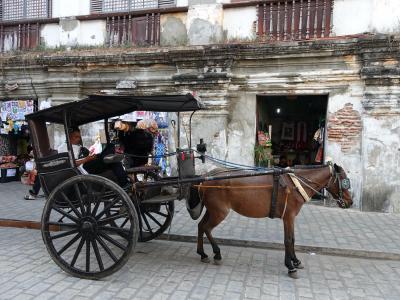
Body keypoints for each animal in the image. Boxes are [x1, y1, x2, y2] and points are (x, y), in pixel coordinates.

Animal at [194, 162, 354, 278]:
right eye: (345, 182)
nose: (350, 202)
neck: (296, 184)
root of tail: (206, 177)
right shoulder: (288, 217)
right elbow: (288, 240)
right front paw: (290, 267)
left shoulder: (290, 217)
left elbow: (293, 239)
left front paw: (296, 261)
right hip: (219, 212)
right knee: (207, 228)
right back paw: (217, 253)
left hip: (212, 210)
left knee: (201, 226)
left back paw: (203, 254)